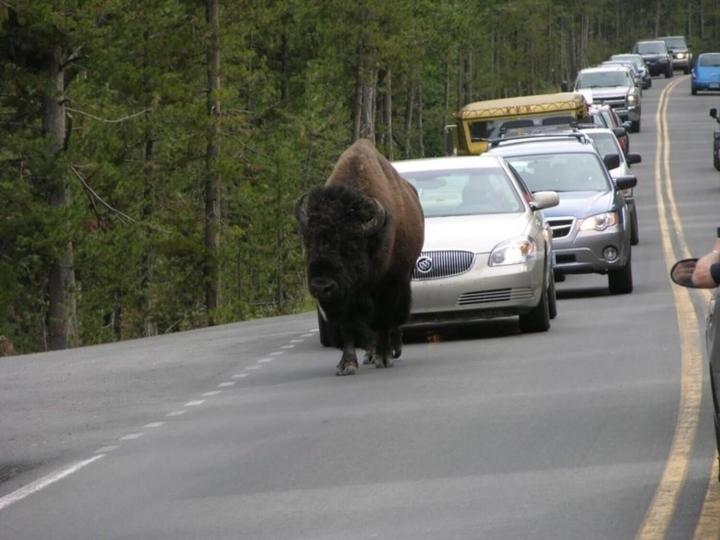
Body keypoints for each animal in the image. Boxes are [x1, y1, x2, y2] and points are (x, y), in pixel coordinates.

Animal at [296, 139, 424, 376]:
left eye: (350, 247)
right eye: (309, 243)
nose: (322, 286)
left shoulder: (389, 285)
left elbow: (383, 320)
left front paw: (384, 358)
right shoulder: (346, 298)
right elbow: (349, 325)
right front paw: (347, 364)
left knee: (393, 317)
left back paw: (391, 350)